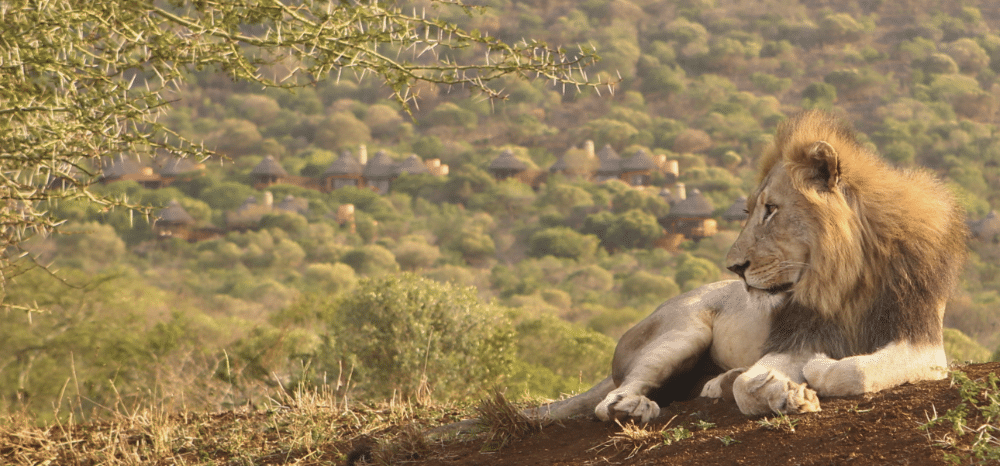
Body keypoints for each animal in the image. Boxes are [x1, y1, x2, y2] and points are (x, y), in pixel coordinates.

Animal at [528, 110, 964, 422]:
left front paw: (817, 370)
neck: (843, 276)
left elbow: (856, 370)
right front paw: (786, 393)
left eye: (771, 210)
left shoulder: (922, 341)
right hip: (682, 330)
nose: (734, 267)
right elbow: (755, 383)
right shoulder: (795, 336)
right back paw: (634, 407)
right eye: (748, 210)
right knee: (614, 396)